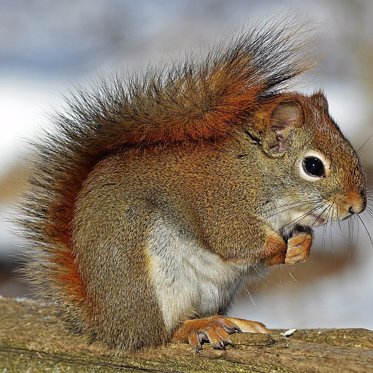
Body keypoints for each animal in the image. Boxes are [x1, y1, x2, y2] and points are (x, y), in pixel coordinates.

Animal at [18, 24, 364, 350]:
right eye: (313, 166)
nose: (356, 206)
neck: (256, 171)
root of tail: (107, 324)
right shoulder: (220, 202)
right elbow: (233, 240)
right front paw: (280, 248)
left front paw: (301, 246)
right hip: (153, 282)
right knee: (161, 333)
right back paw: (198, 328)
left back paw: (232, 322)